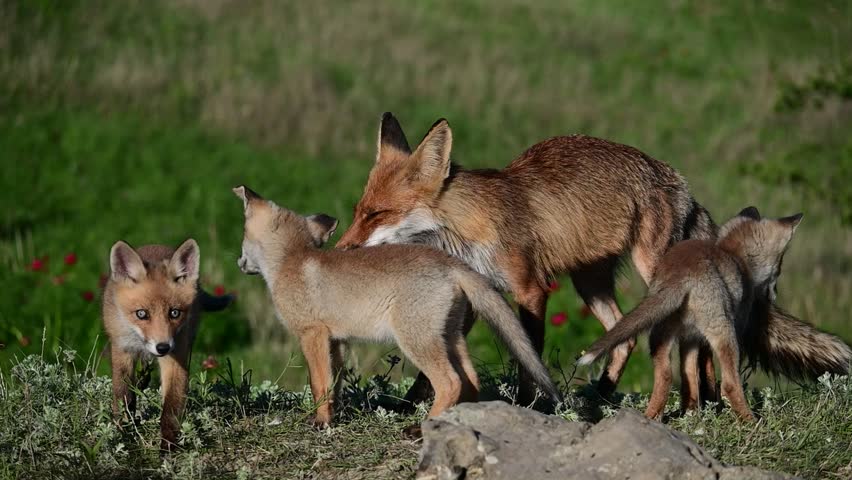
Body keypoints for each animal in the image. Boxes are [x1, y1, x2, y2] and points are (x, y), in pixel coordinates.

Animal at [102, 239, 233, 452]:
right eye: (141, 314)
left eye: (174, 313)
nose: (162, 347)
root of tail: (155, 245)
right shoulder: (122, 349)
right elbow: (123, 397)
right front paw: (121, 432)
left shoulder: (176, 355)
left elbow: (170, 407)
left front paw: (168, 447)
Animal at [232, 185, 559, 427]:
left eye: (242, 240)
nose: (239, 263)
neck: (292, 260)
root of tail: (451, 263)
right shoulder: (337, 340)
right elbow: (334, 385)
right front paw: (334, 417)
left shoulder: (312, 334)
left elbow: (319, 385)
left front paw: (321, 422)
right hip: (450, 338)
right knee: (471, 380)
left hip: (415, 340)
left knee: (450, 382)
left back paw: (424, 426)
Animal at [336, 112, 717, 402]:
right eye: (357, 212)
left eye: (377, 214)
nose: (340, 249)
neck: (469, 230)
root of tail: (673, 176)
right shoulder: (474, 292)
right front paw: (409, 403)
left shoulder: (531, 289)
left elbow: (527, 356)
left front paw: (528, 403)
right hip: (589, 283)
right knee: (625, 336)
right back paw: (602, 397)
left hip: (652, 268)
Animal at [578, 207, 852, 420]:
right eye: (780, 267)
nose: (775, 294)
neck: (733, 253)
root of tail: (682, 276)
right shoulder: (731, 326)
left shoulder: (689, 337)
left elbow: (688, 377)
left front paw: (691, 413)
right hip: (724, 334)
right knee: (730, 384)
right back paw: (751, 422)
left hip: (660, 336)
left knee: (665, 376)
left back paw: (652, 416)